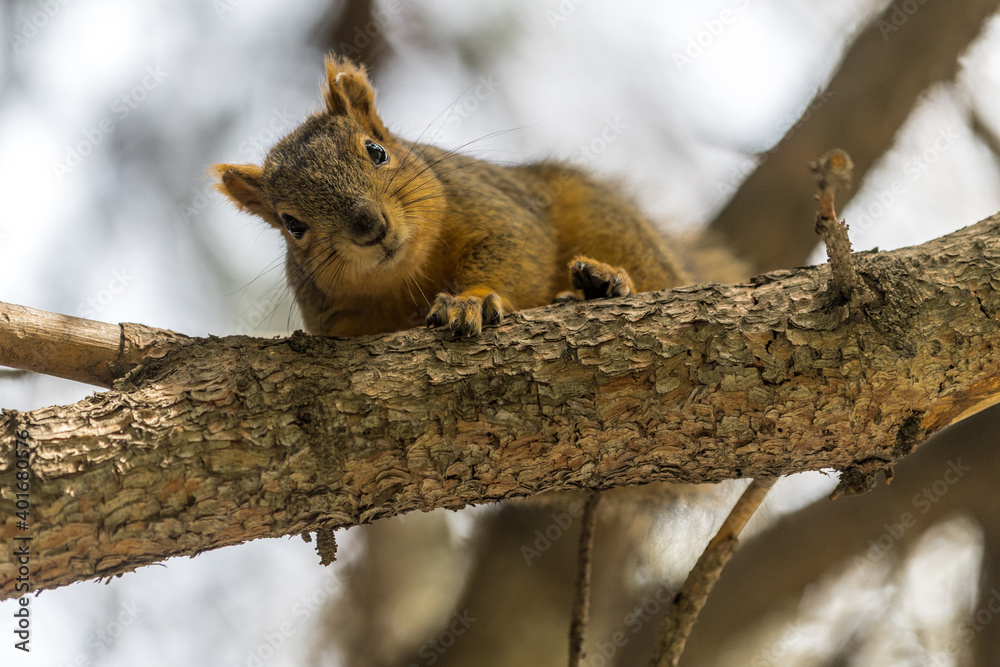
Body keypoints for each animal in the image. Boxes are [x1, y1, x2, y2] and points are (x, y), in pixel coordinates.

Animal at [213, 55, 688, 337]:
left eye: (376, 151)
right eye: (292, 225)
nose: (370, 227)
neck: (407, 275)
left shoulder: (490, 207)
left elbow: (514, 250)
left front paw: (469, 301)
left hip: (603, 217)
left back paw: (603, 281)